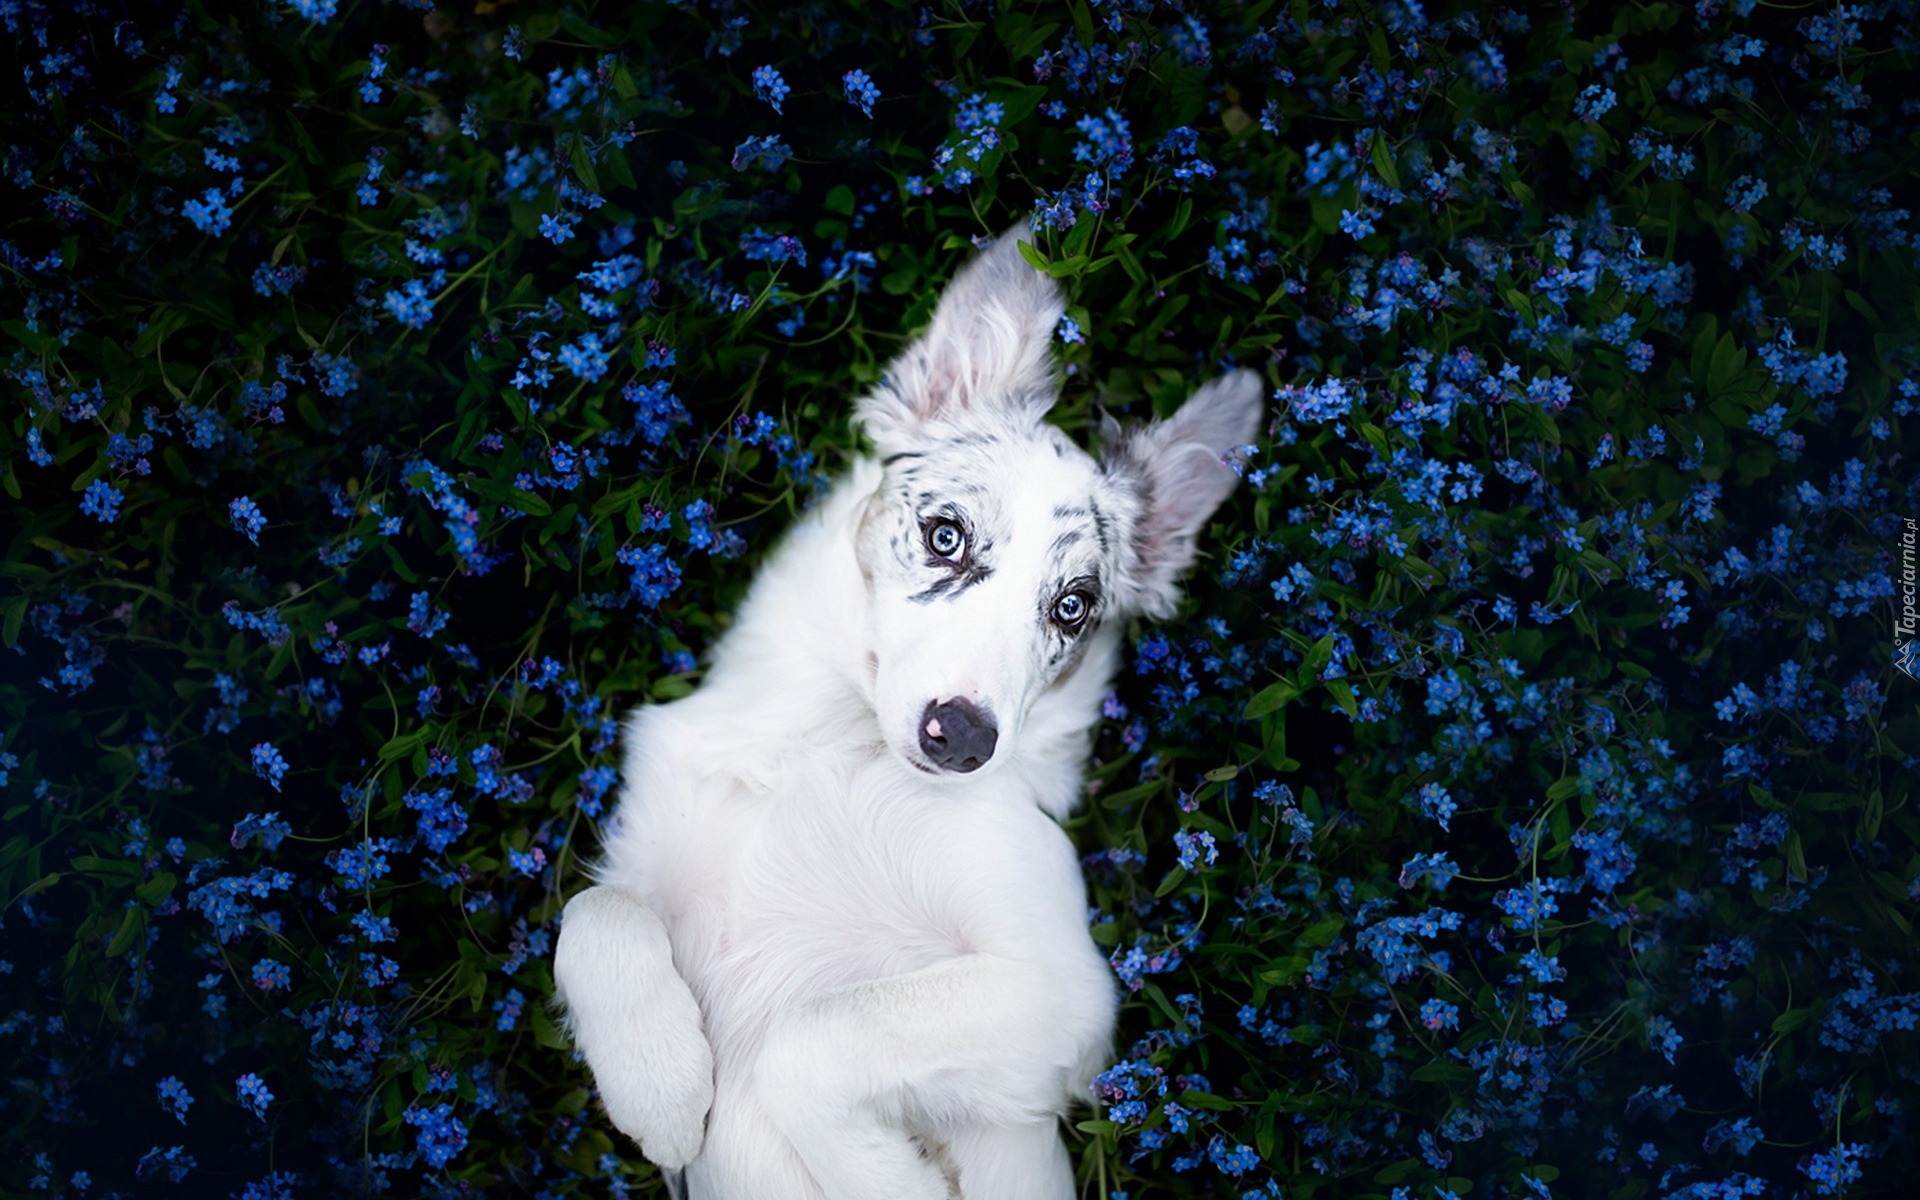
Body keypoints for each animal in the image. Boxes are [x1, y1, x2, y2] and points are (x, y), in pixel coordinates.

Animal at [552, 226, 1259, 1198]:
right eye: (945, 535)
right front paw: (659, 1088)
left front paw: (887, 1178)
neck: (823, 745)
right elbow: (593, 916)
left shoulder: (1063, 988)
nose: (961, 739)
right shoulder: (653, 858)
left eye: (1072, 607)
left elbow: (808, 1037)